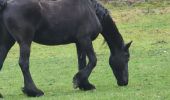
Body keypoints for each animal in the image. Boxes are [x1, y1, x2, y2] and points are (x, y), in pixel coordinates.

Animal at [0, 0, 131, 97]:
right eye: (127, 58)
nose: (125, 82)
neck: (92, 11)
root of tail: (7, 4)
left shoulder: (79, 43)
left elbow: (82, 63)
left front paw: (85, 85)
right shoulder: (85, 39)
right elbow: (93, 60)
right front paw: (78, 80)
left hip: (6, 42)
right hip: (25, 42)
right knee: (24, 64)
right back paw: (34, 91)